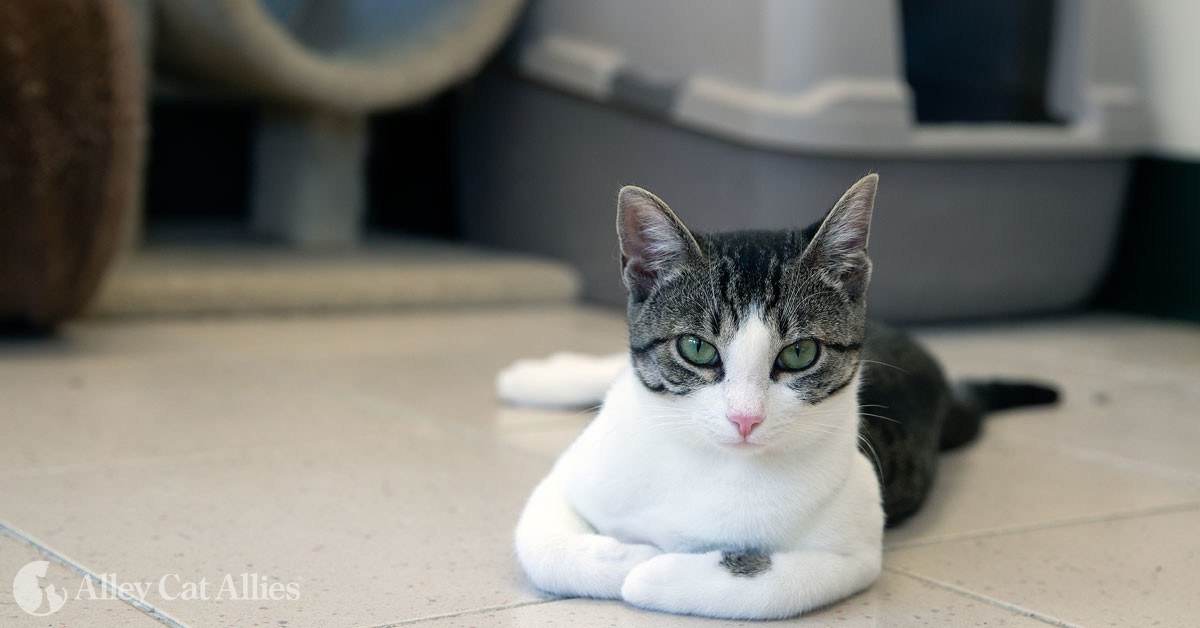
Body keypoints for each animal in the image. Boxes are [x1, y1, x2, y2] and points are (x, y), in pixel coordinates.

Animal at [501, 175, 1056, 619]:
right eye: (696, 348)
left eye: (799, 354)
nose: (745, 418)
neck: (711, 463)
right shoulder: (574, 476)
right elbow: (540, 543)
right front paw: (631, 556)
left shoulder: (855, 547)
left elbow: (777, 589)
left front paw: (655, 570)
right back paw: (532, 378)